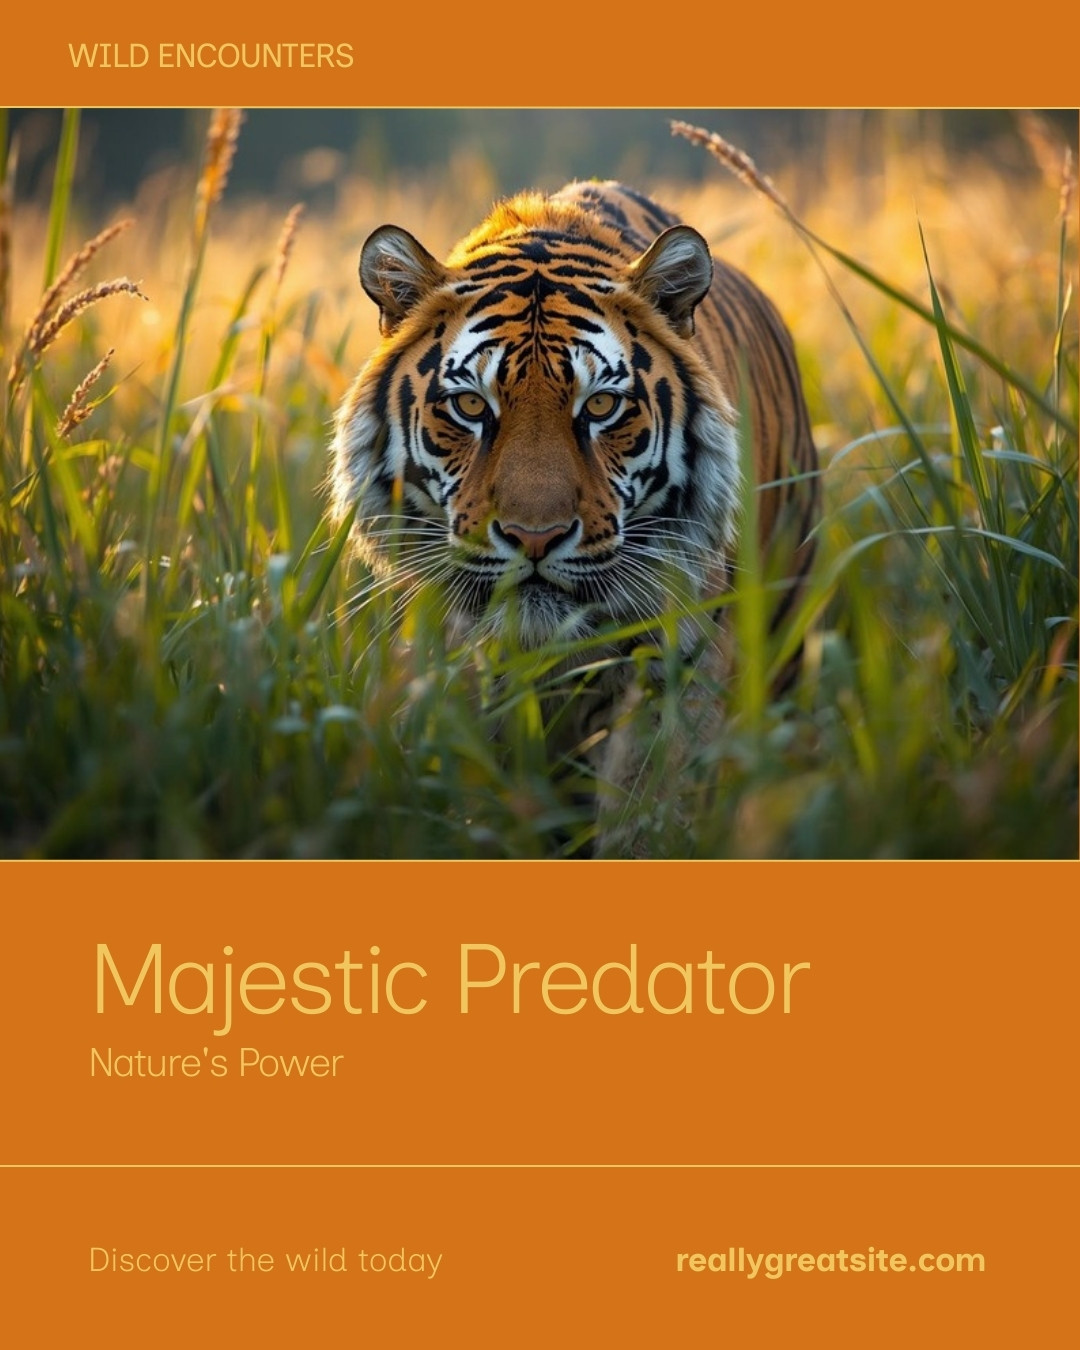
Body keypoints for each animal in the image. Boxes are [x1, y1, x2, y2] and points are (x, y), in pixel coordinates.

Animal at [329, 180, 819, 854]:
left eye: (603, 406)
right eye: (470, 406)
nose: (535, 538)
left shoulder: (674, 669)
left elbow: (646, 811)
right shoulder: (460, 670)